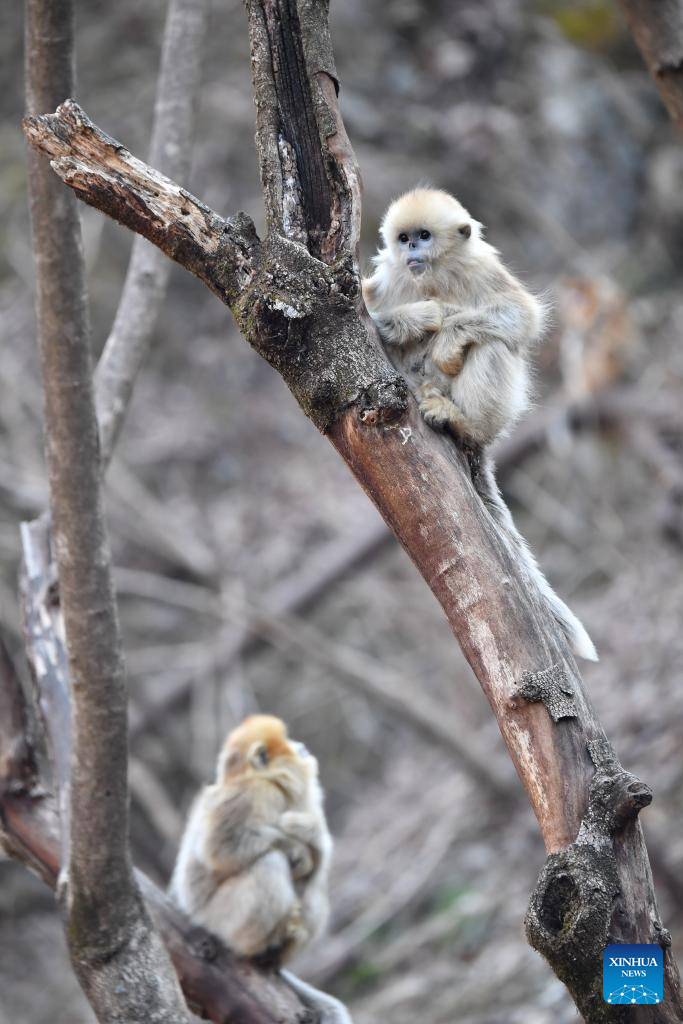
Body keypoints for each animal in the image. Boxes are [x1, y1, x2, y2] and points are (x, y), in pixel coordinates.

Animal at [169, 714, 332, 963]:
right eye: (288, 742)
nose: (301, 745)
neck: (269, 779)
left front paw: (306, 835)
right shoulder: (254, 793)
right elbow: (219, 848)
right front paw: (296, 849)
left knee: (315, 886)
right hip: (219, 917)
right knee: (270, 863)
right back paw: (256, 945)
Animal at [362, 188, 598, 662]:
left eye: (424, 236)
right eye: (404, 239)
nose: (412, 251)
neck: (432, 277)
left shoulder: (481, 267)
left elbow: (521, 316)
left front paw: (446, 334)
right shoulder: (382, 281)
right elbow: (370, 310)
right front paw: (421, 317)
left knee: (493, 342)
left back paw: (461, 422)